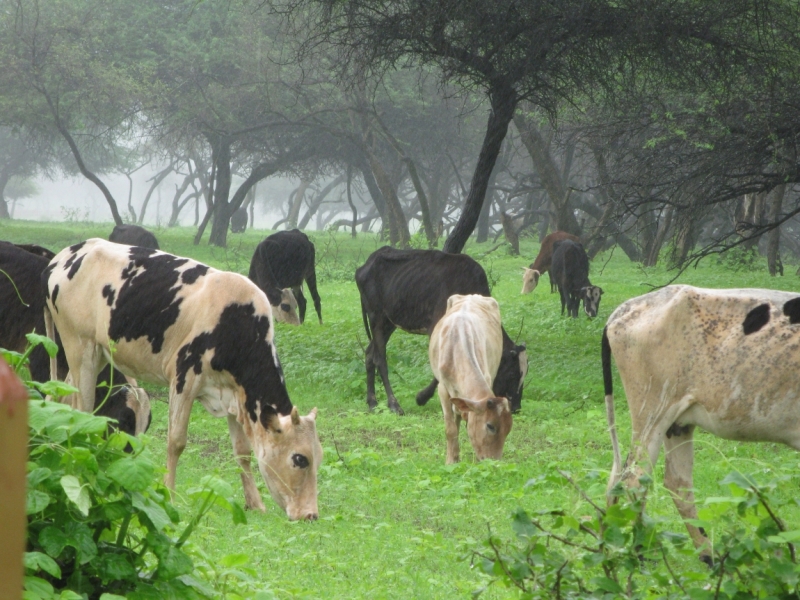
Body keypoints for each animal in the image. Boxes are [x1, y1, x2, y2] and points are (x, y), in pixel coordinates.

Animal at [43, 239, 322, 520]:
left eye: (318, 458)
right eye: (300, 458)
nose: (310, 515)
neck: (235, 325)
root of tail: (69, 252)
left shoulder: (235, 394)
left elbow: (242, 451)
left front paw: (255, 503)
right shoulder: (184, 377)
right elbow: (176, 442)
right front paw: (170, 496)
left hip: (95, 354)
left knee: (58, 396)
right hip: (80, 347)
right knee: (82, 410)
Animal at [354, 246, 528, 414]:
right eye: (512, 373)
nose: (516, 407)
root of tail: (366, 264)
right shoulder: (436, 327)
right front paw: (421, 397)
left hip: (388, 323)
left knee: (369, 354)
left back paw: (372, 403)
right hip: (377, 317)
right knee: (379, 359)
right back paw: (393, 405)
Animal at [432, 296, 512, 464]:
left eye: (508, 429)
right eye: (490, 426)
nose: (494, 462)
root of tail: (472, 296)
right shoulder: (442, 388)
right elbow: (450, 428)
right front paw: (451, 460)